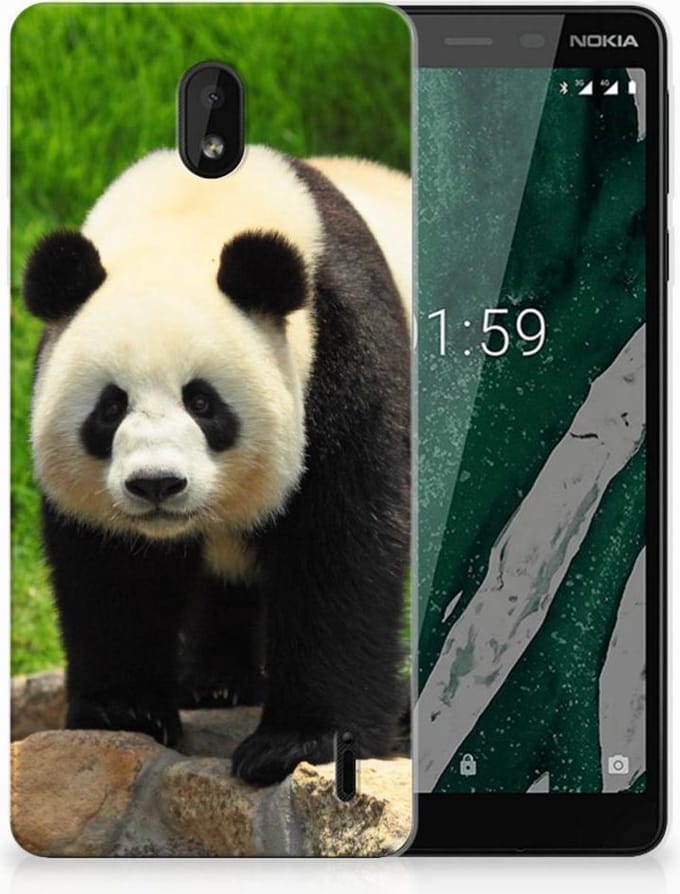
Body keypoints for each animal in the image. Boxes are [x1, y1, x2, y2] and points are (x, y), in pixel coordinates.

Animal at [23, 146, 411, 785]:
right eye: (110, 407)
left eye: (202, 403)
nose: (156, 484)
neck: (190, 216)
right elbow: (113, 570)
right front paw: (123, 712)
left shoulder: (345, 351)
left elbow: (343, 546)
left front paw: (300, 743)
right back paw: (215, 682)